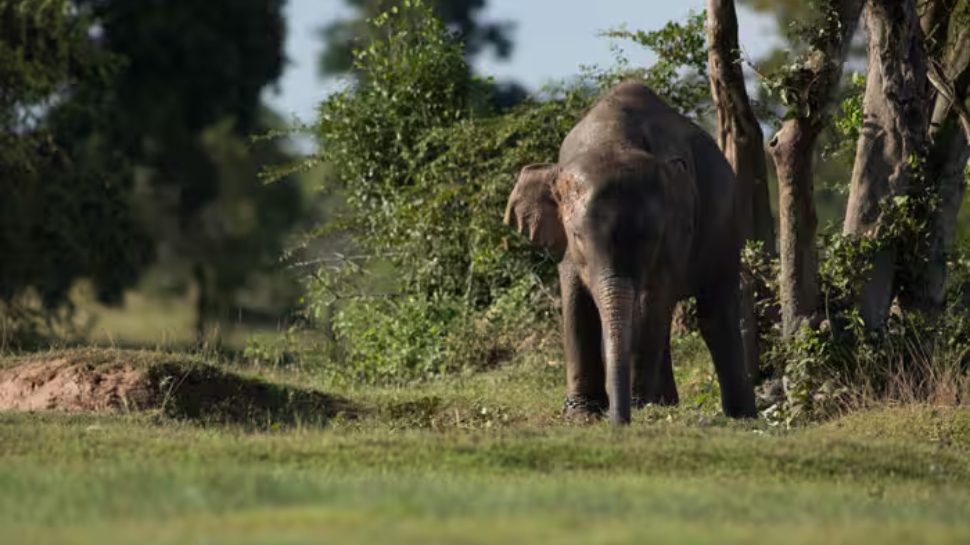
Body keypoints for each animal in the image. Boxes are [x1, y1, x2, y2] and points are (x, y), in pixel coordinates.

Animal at [503, 80, 757, 426]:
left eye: (653, 238)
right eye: (577, 236)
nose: (618, 421)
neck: (612, 138)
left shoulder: (675, 237)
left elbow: (652, 300)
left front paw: (638, 405)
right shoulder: (566, 250)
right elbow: (575, 301)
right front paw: (581, 413)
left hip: (727, 224)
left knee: (715, 311)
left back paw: (741, 417)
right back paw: (667, 404)